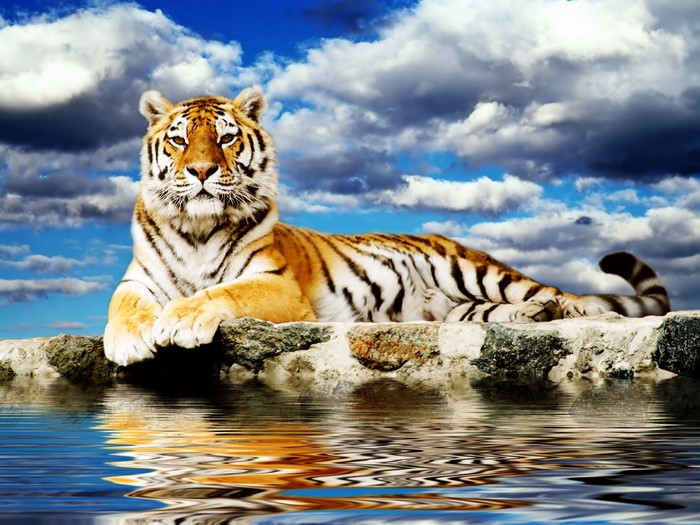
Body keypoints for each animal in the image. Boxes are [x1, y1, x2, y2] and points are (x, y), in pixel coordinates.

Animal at [103, 86, 671, 366]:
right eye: (179, 140)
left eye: (224, 138)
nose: (200, 171)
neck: (197, 229)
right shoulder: (139, 280)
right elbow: (122, 306)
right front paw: (129, 341)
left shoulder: (275, 284)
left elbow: (222, 293)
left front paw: (178, 322)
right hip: (462, 307)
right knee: (504, 312)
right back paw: (532, 318)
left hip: (477, 271)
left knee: (566, 296)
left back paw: (579, 310)